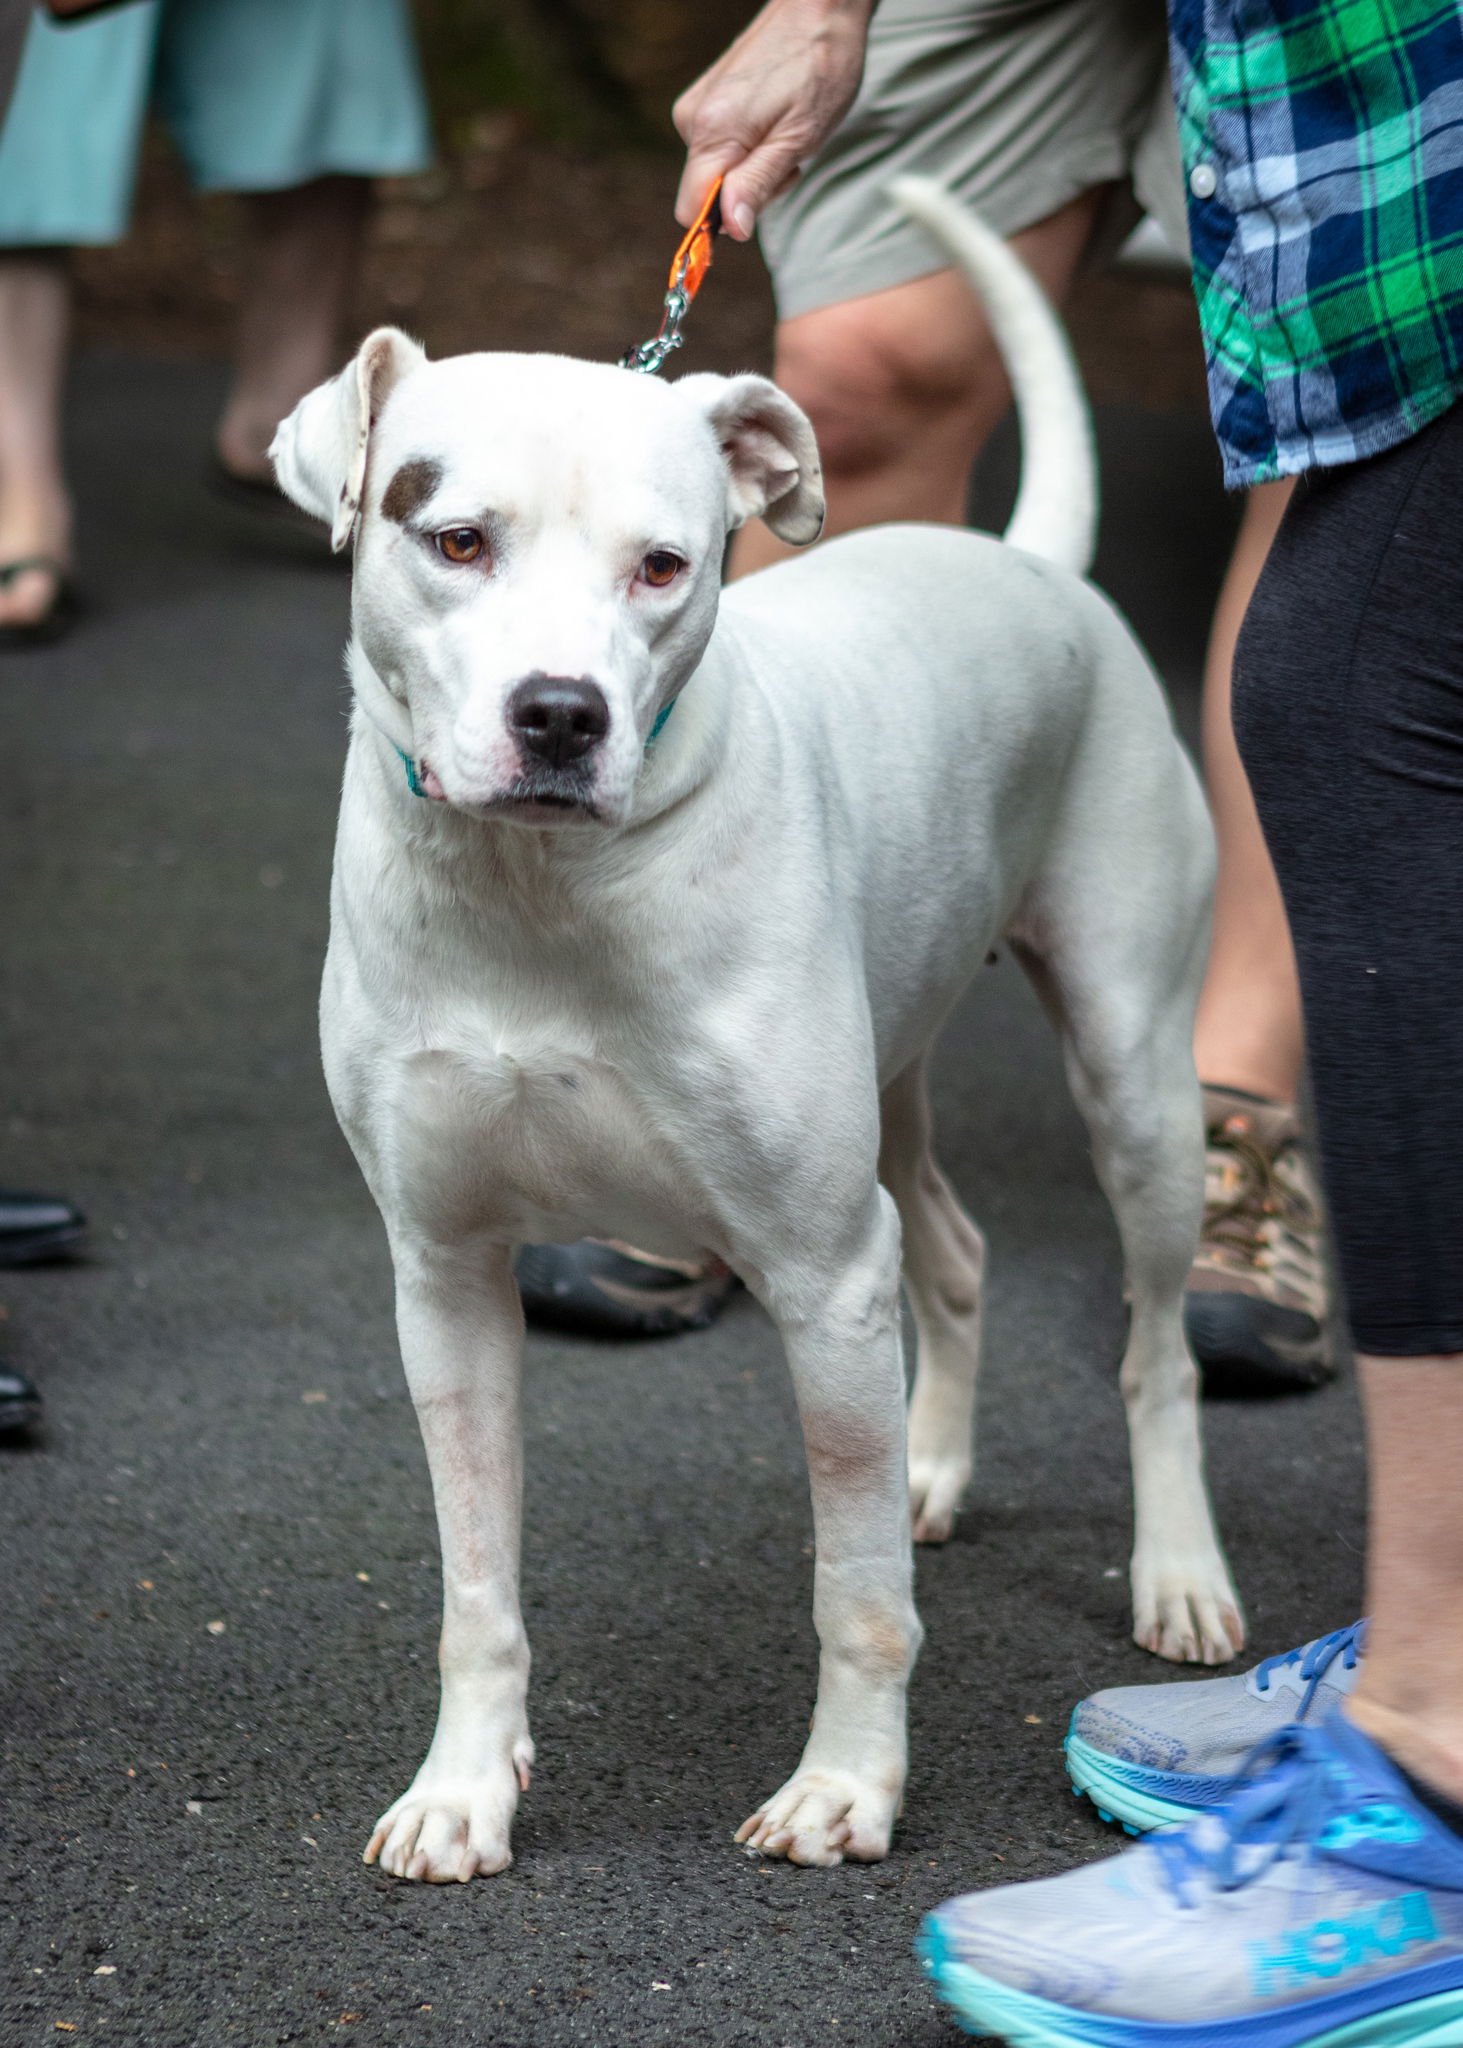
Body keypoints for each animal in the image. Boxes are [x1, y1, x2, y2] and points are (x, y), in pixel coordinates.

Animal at [270, 184, 1229, 1875]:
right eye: (453, 540)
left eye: (664, 566)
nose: (561, 716)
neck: (540, 889)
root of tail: (1031, 567)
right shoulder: (445, 1276)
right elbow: (475, 1581)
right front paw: (462, 1789)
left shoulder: (819, 1274)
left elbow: (853, 1594)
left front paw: (848, 1788)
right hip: (894, 1080)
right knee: (954, 1253)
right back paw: (931, 1464)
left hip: (1134, 1084)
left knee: (1154, 1353)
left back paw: (1177, 1573)